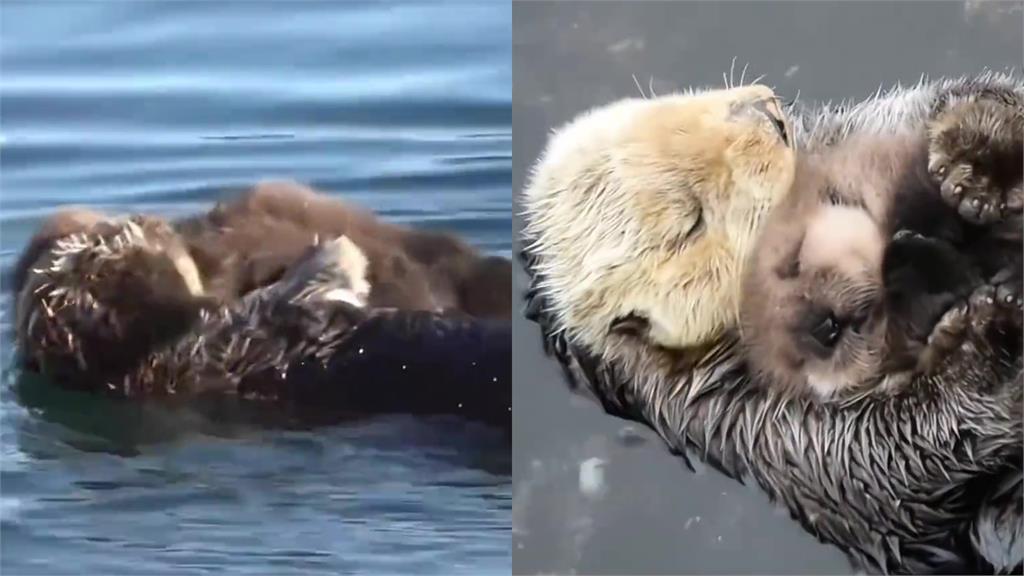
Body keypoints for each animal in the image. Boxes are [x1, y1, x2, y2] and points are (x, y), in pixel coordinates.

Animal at [524, 73, 1019, 569]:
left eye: (672, 107)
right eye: (691, 222)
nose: (762, 112)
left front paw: (978, 153)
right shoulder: (751, 422)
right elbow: (888, 466)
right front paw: (982, 337)